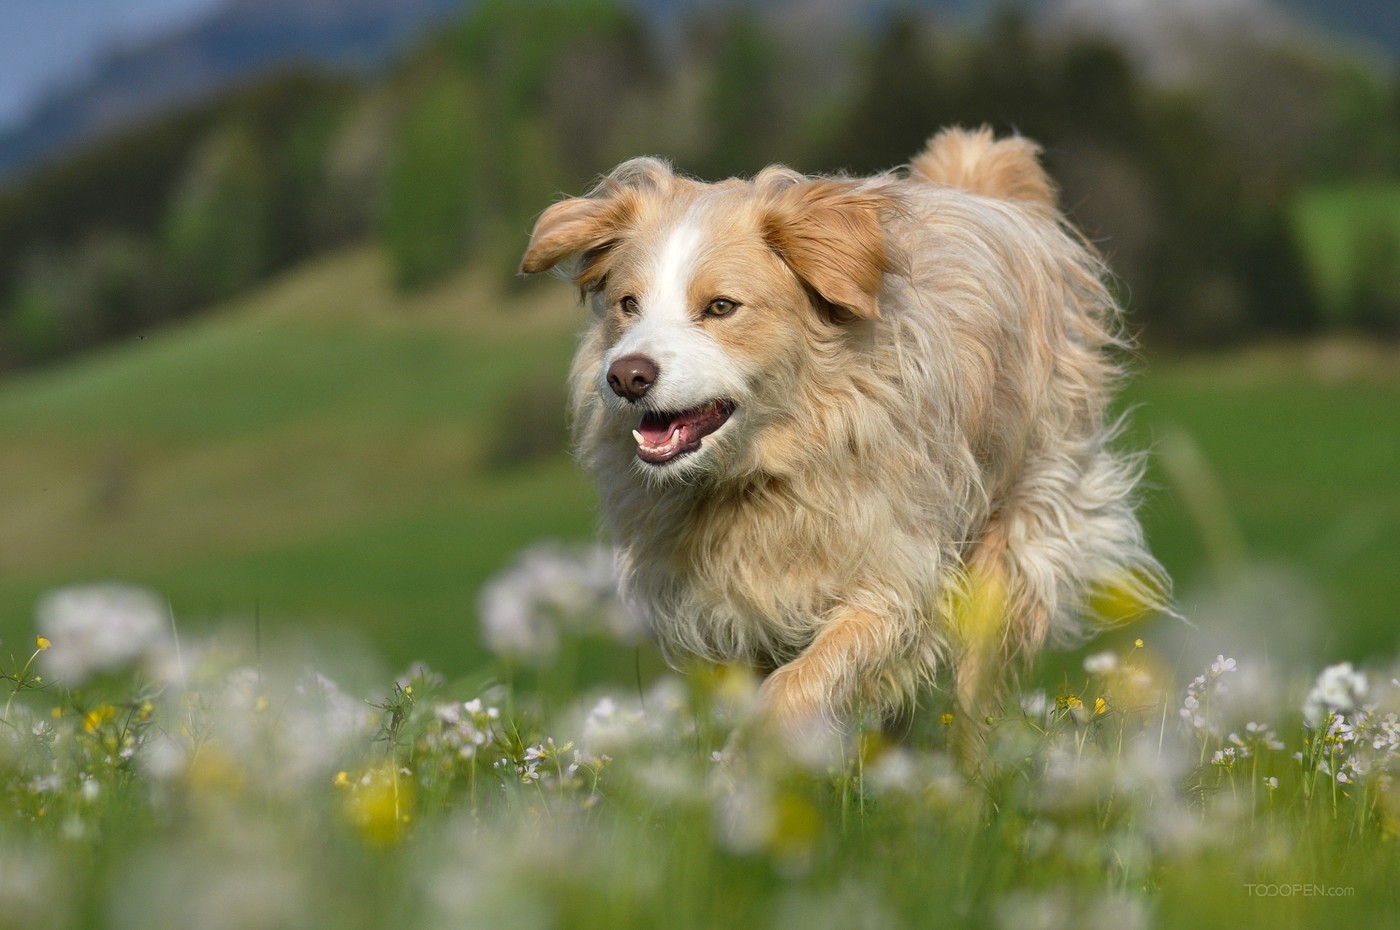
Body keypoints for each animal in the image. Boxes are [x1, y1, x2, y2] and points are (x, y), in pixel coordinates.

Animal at [520, 128, 1164, 756]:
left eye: (721, 307)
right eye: (628, 304)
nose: (626, 376)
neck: (767, 473)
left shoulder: (895, 580)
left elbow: (800, 684)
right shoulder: (738, 614)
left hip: (1014, 526)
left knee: (974, 691)